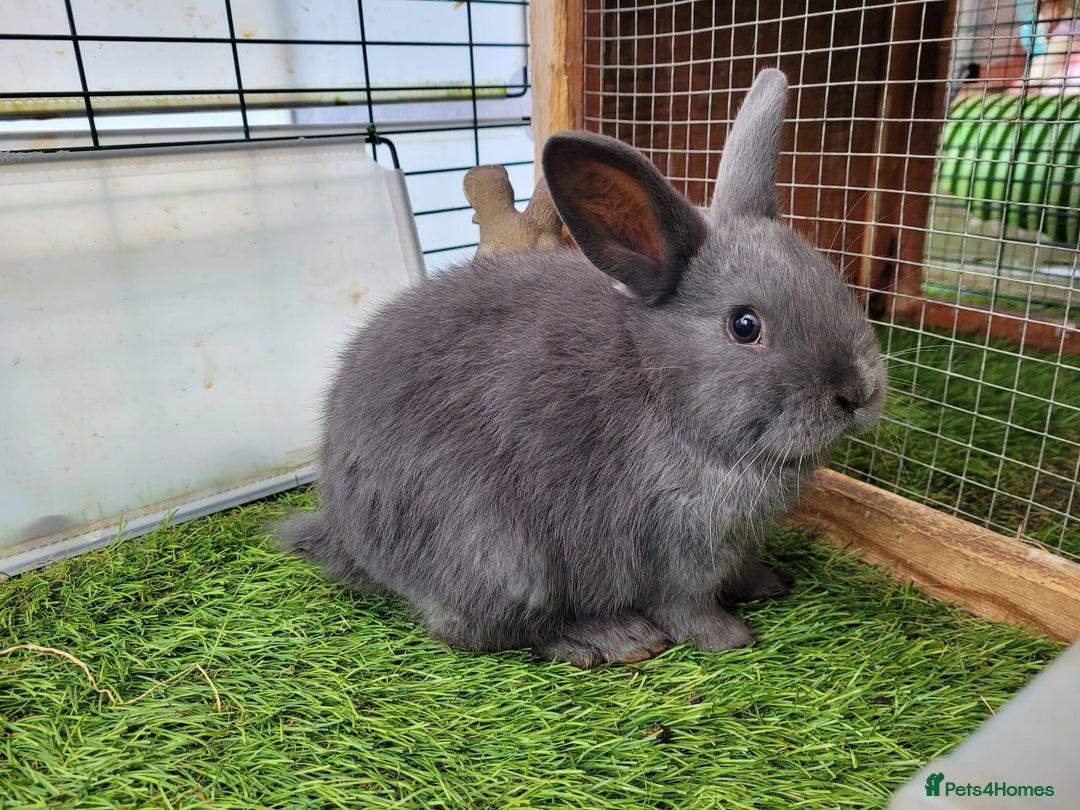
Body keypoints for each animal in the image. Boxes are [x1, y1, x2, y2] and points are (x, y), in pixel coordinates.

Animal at [278, 69, 886, 667]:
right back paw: (611, 638)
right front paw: (729, 638)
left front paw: (766, 582)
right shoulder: (678, 546)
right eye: (744, 325)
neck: (661, 386)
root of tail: (346, 533)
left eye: (832, 279)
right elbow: (686, 605)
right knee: (479, 631)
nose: (857, 394)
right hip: (504, 558)